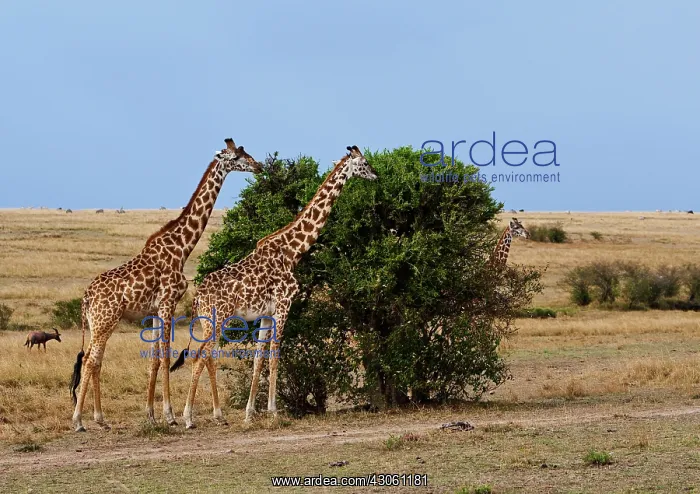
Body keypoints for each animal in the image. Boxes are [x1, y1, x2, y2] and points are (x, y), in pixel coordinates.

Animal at [69, 139, 262, 432]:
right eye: (237, 156)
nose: (258, 165)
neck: (182, 248)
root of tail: (86, 297)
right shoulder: (168, 303)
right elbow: (166, 356)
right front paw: (170, 415)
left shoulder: (153, 311)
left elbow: (154, 359)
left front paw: (151, 414)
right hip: (105, 320)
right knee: (91, 360)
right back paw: (79, 420)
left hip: (96, 323)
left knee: (93, 359)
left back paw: (100, 419)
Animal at [171, 146, 377, 428]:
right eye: (364, 163)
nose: (376, 175)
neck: (293, 251)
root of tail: (198, 296)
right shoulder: (284, 304)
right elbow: (276, 353)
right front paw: (274, 411)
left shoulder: (266, 313)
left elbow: (259, 357)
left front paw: (250, 413)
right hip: (218, 317)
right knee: (200, 355)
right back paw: (188, 417)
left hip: (206, 322)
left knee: (205, 355)